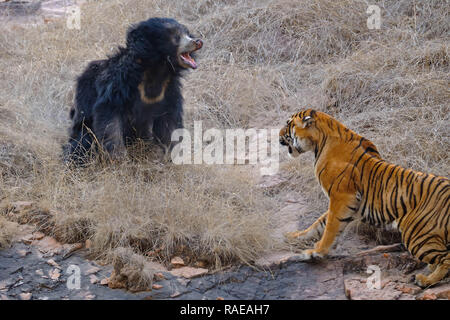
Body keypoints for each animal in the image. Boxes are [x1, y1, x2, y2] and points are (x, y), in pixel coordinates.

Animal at [64, 17, 203, 162]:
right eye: (176, 37)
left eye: (187, 33)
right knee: (83, 141)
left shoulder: (170, 90)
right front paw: (119, 158)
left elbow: (169, 123)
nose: (198, 41)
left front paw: (169, 156)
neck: (157, 70)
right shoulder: (119, 83)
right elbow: (109, 117)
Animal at [280, 109, 448, 286]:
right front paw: (294, 236)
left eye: (288, 124)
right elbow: (319, 224)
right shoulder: (350, 205)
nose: (278, 134)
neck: (320, 142)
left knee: (446, 258)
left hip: (416, 235)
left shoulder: (342, 197)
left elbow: (330, 228)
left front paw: (316, 252)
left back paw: (425, 279)